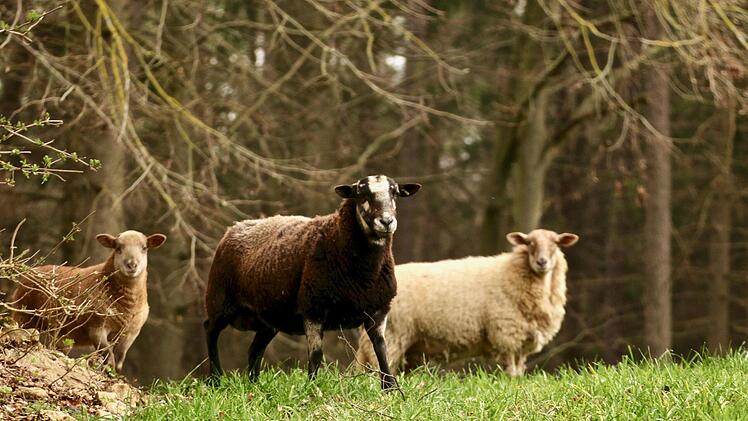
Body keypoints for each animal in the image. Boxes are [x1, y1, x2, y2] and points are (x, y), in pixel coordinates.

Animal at [10, 230, 166, 372]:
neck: (127, 306)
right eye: (118, 248)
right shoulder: (96, 327)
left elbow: (119, 359)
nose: (132, 265)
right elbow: (108, 355)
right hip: (24, 315)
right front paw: (106, 371)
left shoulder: (132, 332)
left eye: (144, 248)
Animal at [204, 175, 421, 390]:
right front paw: (312, 389)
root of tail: (234, 227)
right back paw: (215, 379)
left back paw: (254, 385)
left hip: (268, 319)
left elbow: (381, 350)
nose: (386, 221)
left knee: (254, 349)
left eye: (394, 193)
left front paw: (390, 387)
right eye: (361, 194)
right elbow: (316, 355)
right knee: (210, 330)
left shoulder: (379, 310)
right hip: (220, 300)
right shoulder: (313, 309)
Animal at [355, 229, 578, 377]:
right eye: (530, 243)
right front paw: (512, 383)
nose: (542, 262)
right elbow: (511, 370)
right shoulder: (506, 334)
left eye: (556, 244)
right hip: (392, 336)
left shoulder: (521, 340)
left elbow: (519, 369)